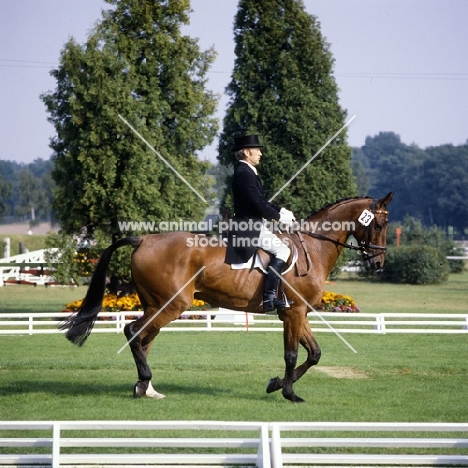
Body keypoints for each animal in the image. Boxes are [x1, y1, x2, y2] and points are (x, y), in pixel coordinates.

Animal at [60, 192, 394, 400]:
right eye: (379, 224)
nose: (379, 263)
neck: (313, 246)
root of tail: (143, 238)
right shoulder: (294, 312)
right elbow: (292, 354)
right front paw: (288, 393)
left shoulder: (297, 312)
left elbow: (314, 354)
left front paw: (275, 384)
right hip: (171, 304)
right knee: (133, 331)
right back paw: (145, 381)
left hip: (155, 304)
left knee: (143, 338)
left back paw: (146, 387)